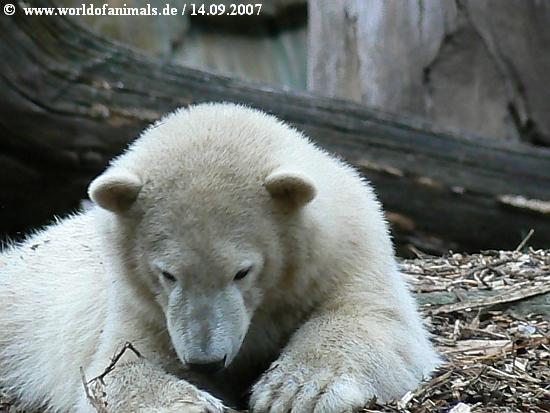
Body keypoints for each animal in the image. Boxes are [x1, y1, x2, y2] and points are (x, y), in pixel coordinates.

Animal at [0, 102, 440, 413]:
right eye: (167, 274)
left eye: (242, 272)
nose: (205, 361)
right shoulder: (136, 302)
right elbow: (114, 369)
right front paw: (193, 403)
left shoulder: (349, 250)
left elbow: (375, 322)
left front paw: (295, 390)